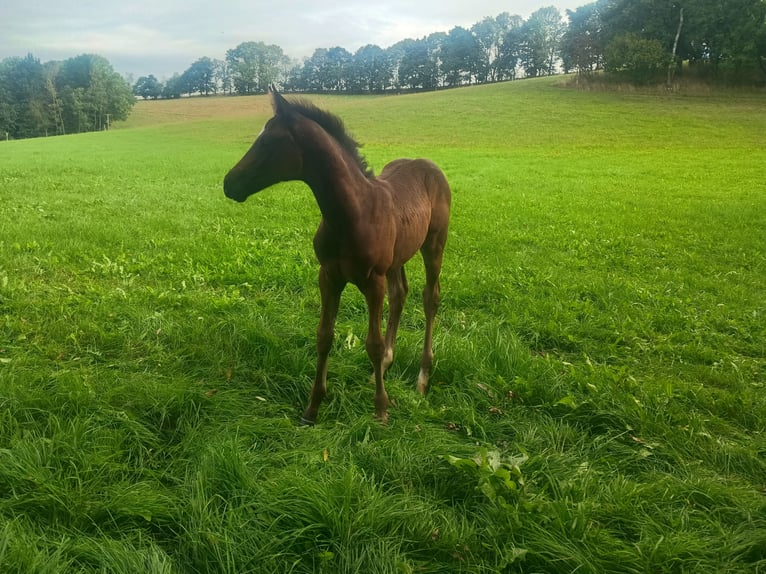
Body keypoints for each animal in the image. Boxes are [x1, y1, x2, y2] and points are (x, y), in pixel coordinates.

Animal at [223, 87, 451, 424]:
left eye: (266, 142)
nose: (229, 183)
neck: (353, 213)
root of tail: (430, 165)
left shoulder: (373, 282)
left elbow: (373, 342)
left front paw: (381, 410)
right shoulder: (328, 276)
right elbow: (324, 335)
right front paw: (312, 407)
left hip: (434, 245)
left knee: (429, 298)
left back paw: (422, 377)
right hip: (397, 259)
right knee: (400, 295)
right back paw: (384, 368)